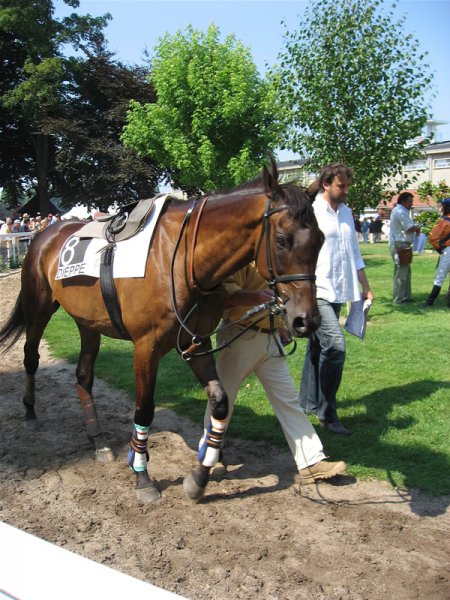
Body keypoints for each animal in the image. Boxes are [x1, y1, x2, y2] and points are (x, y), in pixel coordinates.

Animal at [0, 159, 324, 502]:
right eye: (282, 240)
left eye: (320, 240)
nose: (307, 319)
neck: (180, 258)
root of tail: (45, 233)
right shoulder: (146, 347)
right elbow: (144, 410)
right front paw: (142, 476)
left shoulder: (196, 342)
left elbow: (220, 402)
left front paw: (200, 476)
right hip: (38, 308)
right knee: (31, 357)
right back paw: (30, 414)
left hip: (88, 323)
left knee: (84, 376)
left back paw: (98, 439)